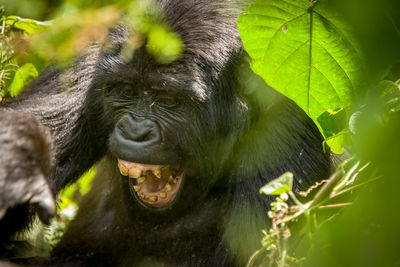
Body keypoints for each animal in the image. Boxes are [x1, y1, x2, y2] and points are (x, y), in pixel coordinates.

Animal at [0, 0, 332, 266]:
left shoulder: (286, 123)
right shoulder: (88, 62)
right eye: (128, 91)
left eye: (170, 100)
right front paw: (18, 165)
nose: (135, 131)